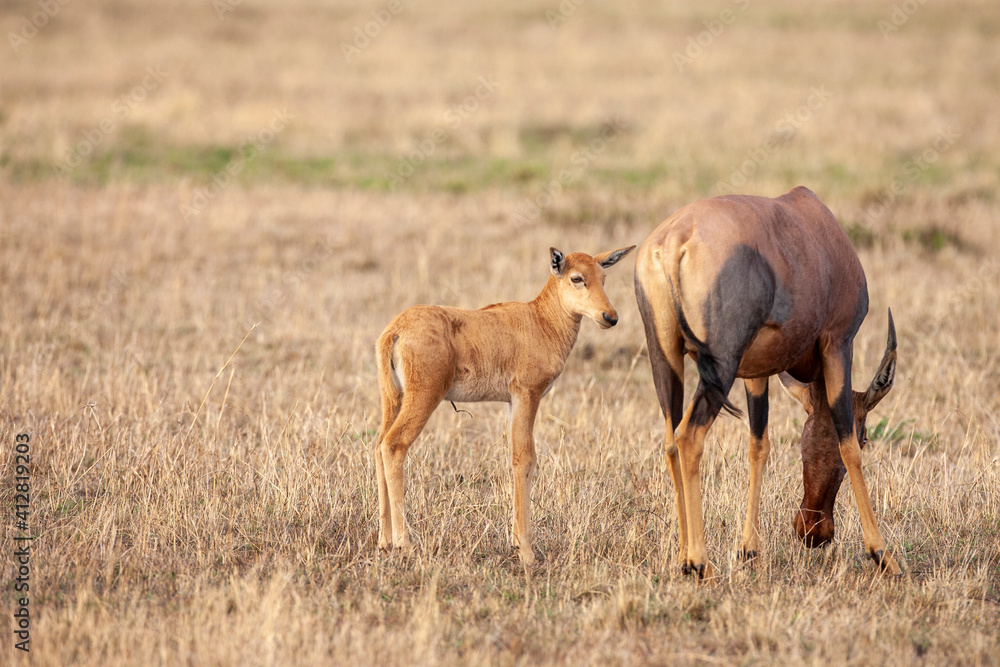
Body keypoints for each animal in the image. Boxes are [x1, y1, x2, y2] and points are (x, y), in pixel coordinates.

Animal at [376, 244, 632, 564]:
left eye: (603, 276)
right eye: (576, 278)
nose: (610, 317)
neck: (540, 321)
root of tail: (394, 330)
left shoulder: (511, 402)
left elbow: (516, 456)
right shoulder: (526, 394)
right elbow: (525, 458)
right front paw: (526, 550)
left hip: (393, 399)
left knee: (378, 446)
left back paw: (384, 542)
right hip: (423, 396)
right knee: (394, 445)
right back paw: (405, 544)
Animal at [636, 187, 904, 580]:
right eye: (867, 435)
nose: (812, 532)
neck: (819, 227)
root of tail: (673, 242)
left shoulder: (757, 370)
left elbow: (758, 444)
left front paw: (749, 550)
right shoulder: (839, 342)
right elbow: (846, 444)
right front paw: (884, 555)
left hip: (665, 355)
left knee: (671, 440)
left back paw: (683, 558)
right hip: (721, 363)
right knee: (689, 436)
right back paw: (701, 563)